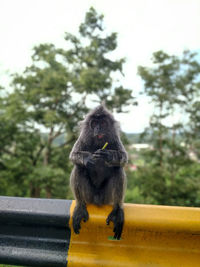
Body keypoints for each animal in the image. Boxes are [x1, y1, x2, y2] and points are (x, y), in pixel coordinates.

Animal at [69, 104, 127, 241]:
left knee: (117, 169)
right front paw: (88, 158)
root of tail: (97, 199)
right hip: (89, 195)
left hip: (106, 197)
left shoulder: (114, 139)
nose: (98, 129)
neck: (98, 143)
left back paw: (117, 210)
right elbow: (73, 156)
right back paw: (80, 207)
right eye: (94, 123)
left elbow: (124, 158)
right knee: (79, 168)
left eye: (103, 123)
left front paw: (108, 155)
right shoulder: (83, 138)